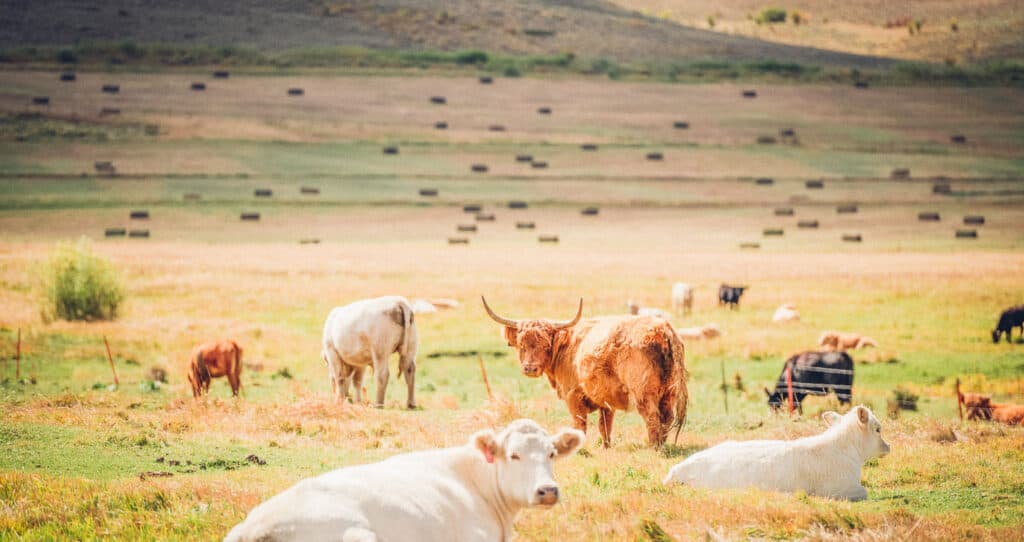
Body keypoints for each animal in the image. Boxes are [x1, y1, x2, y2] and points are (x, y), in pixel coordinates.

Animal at [479, 297, 688, 446]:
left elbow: (580, 425)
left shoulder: (573, 395)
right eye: (521, 345)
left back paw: (654, 447)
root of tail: (663, 329)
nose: (530, 368)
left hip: (644, 392)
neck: (566, 347)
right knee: (666, 418)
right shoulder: (605, 399)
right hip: (669, 392)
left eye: (546, 345)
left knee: (652, 417)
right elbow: (605, 426)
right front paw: (605, 447)